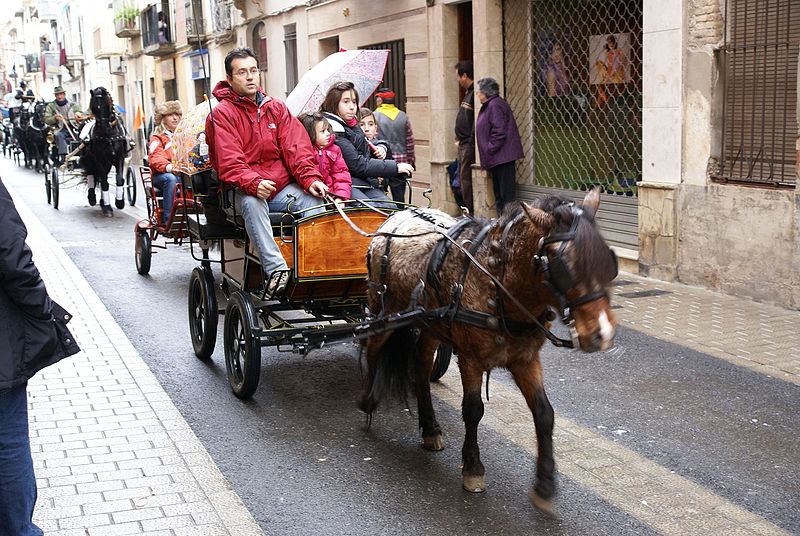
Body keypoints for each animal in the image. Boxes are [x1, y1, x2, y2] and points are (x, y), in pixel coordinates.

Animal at [83, 87, 131, 215]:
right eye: (93, 107)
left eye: (106, 105)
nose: (104, 128)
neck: (109, 136)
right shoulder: (99, 160)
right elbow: (104, 182)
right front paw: (108, 206)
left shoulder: (119, 158)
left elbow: (119, 179)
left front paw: (119, 202)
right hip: (90, 160)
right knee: (92, 175)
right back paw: (93, 199)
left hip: (108, 164)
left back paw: (102, 202)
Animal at [360, 188, 620, 510]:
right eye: (565, 266)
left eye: (608, 261)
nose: (603, 333)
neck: (498, 282)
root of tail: (394, 217)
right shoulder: (470, 358)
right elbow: (473, 410)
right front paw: (473, 469)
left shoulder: (525, 359)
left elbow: (544, 413)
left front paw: (545, 483)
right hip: (385, 312)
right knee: (372, 347)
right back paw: (368, 400)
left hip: (431, 325)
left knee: (420, 369)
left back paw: (430, 428)